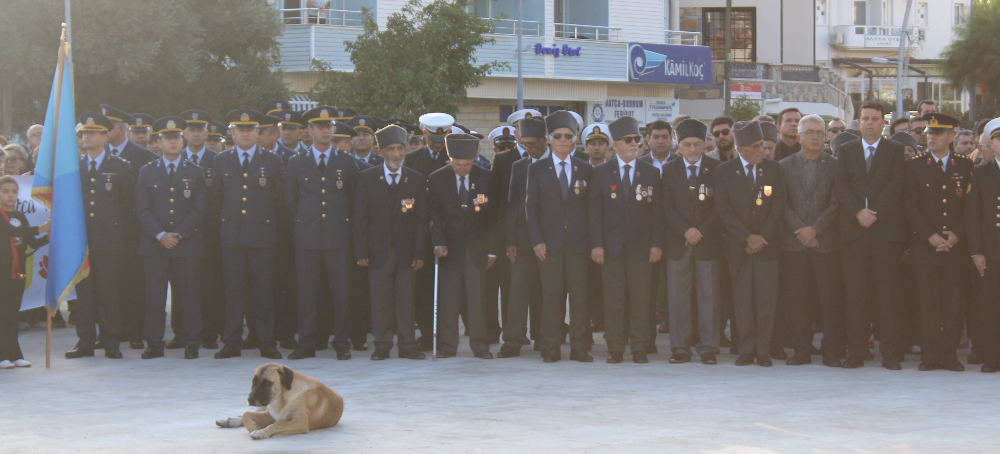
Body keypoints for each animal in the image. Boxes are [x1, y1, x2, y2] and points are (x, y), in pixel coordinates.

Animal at [217, 362, 346, 440]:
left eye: (267, 383)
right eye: (254, 381)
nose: (250, 399)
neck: (281, 399)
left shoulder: (300, 423)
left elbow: (276, 425)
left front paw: (260, 432)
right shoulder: (268, 414)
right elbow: (245, 414)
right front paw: (255, 427)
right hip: (263, 407)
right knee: (244, 414)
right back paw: (228, 421)